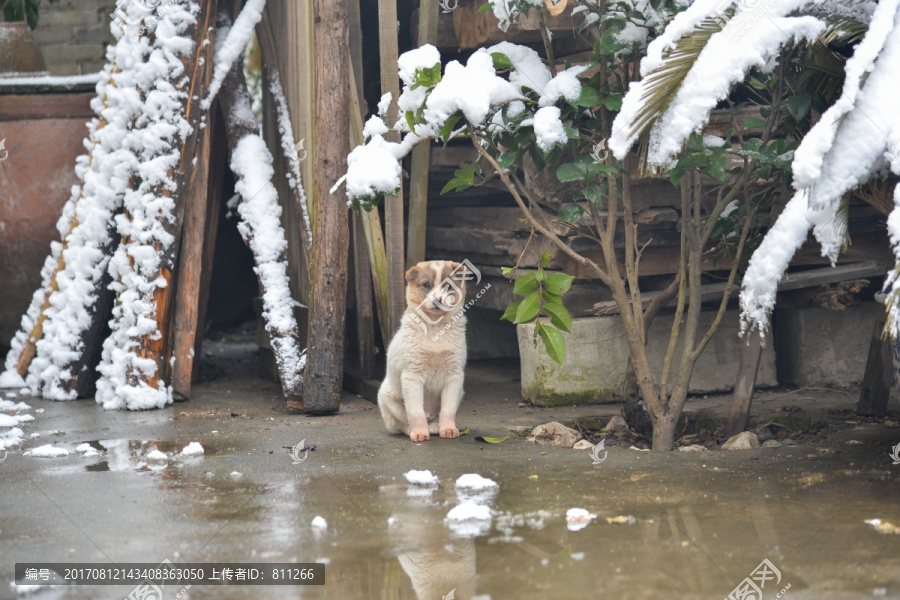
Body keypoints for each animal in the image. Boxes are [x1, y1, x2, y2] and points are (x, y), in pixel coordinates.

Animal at [378, 258, 474, 440]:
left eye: (448, 286)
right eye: (426, 285)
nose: (438, 300)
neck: (435, 327)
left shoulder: (454, 376)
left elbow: (448, 410)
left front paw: (448, 429)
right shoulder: (412, 376)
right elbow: (415, 412)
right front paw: (419, 433)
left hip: (459, 393)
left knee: (436, 415)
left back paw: (435, 426)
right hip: (388, 399)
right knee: (404, 422)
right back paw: (415, 430)